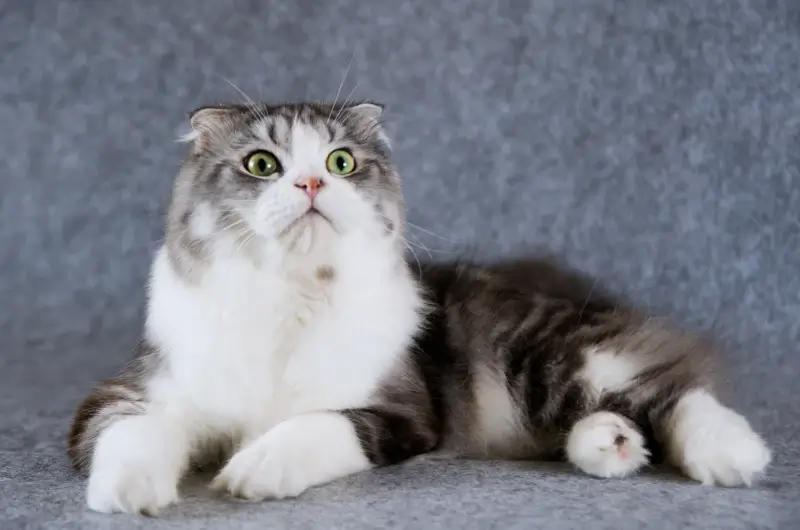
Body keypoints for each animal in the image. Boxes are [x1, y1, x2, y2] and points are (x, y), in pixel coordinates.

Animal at [67, 99, 768, 512]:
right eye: (262, 164)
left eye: (340, 161)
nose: (311, 182)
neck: (292, 297)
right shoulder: (132, 392)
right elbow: (128, 434)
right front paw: (131, 494)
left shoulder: (399, 410)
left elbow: (316, 426)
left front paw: (257, 466)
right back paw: (613, 446)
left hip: (547, 359)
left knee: (674, 388)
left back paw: (736, 455)